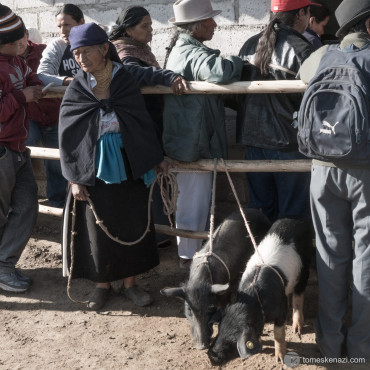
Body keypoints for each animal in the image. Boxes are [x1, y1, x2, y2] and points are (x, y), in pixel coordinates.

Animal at [208, 217, 312, 364]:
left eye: (234, 342)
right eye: (219, 328)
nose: (211, 356)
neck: (255, 298)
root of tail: (297, 220)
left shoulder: (280, 309)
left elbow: (278, 334)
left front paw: (280, 360)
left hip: (305, 267)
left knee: (299, 296)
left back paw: (297, 330)